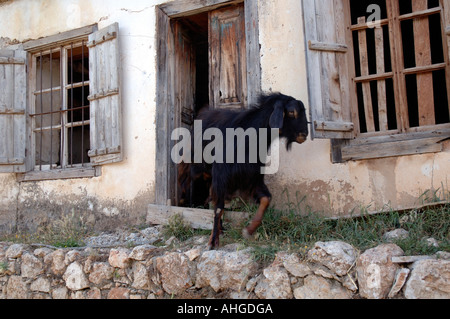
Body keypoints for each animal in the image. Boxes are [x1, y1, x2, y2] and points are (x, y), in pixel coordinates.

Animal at [178, 92, 308, 250]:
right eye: (291, 112)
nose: (304, 134)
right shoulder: (221, 176)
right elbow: (219, 208)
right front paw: (212, 242)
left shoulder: (253, 178)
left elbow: (266, 199)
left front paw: (249, 229)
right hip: (195, 165)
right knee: (186, 179)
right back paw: (183, 200)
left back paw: (221, 228)